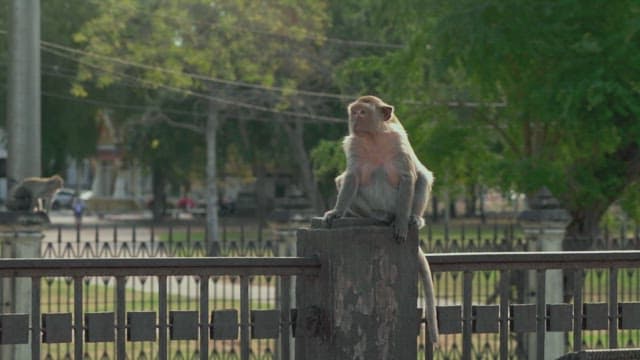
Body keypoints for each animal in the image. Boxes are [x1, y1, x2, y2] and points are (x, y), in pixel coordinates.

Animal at [322, 95, 438, 344]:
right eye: (354, 111)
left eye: (363, 112)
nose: (354, 119)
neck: (374, 137)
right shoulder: (354, 144)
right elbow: (351, 177)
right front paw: (336, 212)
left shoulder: (398, 142)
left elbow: (408, 176)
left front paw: (402, 225)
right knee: (344, 179)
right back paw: (377, 216)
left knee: (422, 176)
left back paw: (412, 219)